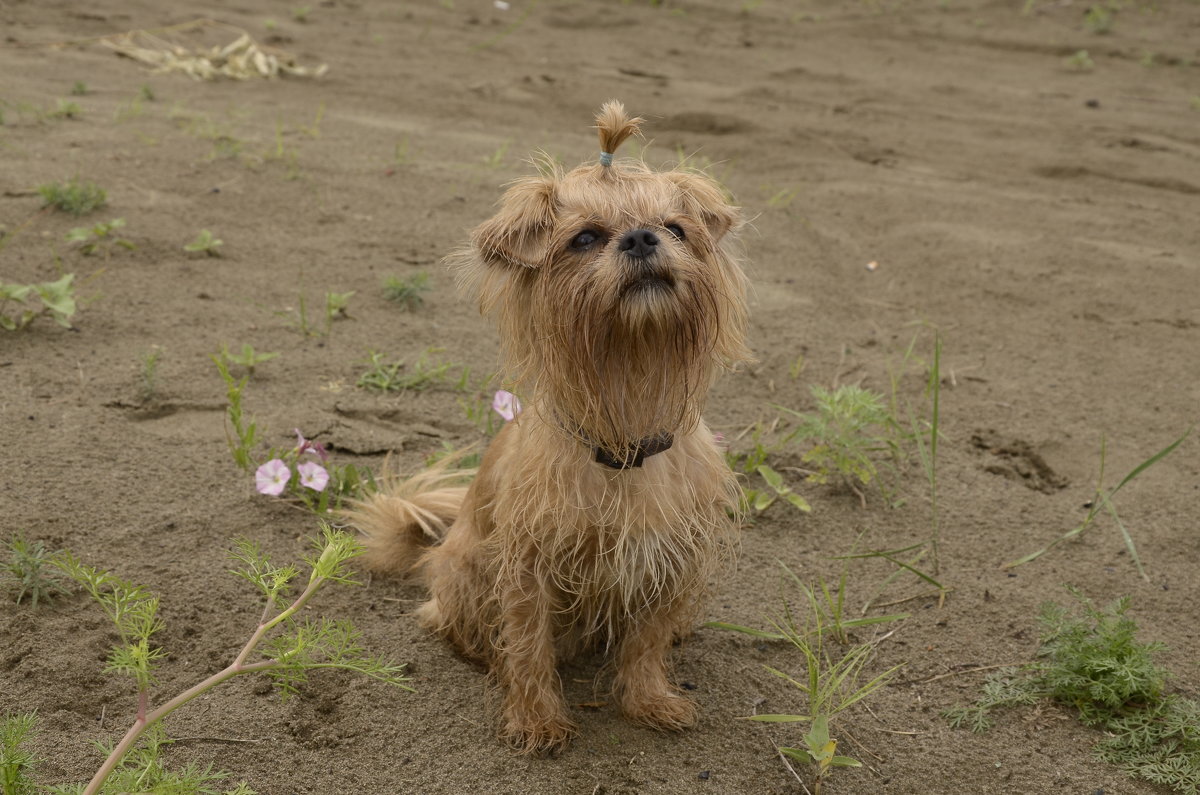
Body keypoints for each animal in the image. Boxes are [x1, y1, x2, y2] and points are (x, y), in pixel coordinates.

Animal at [348, 102, 753, 758]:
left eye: (674, 228)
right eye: (584, 238)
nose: (642, 237)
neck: (622, 438)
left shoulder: (669, 563)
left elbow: (647, 640)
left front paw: (648, 699)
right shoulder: (529, 571)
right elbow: (529, 647)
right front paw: (537, 720)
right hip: (465, 570)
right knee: (468, 633)